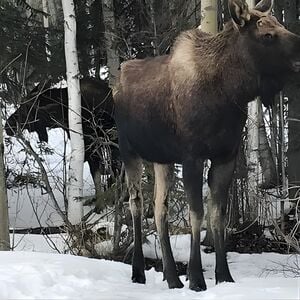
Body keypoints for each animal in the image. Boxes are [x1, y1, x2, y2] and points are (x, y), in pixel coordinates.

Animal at [113, 0, 300, 292]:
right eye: (267, 35)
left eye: (281, 27)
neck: (231, 93)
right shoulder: (193, 157)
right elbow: (197, 214)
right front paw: (197, 278)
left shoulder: (225, 157)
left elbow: (217, 216)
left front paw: (223, 276)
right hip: (129, 151)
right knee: (136, 203)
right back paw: (139, 272)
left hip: (163, 160)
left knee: (160, 208)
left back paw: (172, 277)